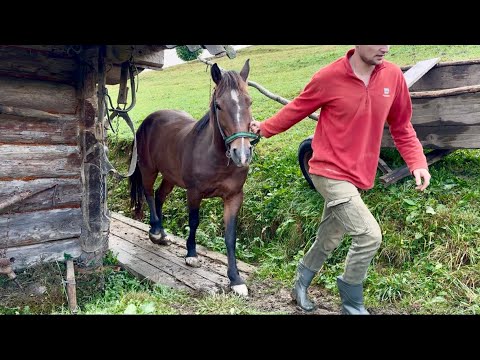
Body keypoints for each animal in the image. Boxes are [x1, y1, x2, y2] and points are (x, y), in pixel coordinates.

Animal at [129, 60, 258, 296]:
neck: (216, 157)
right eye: (218, 105)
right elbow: (194, 221)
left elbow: (230, 235)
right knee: (149, 193)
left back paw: (162, 233)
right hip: (149, 170)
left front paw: (235, 279)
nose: (242, 154)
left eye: (249, 101)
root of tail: (149, 120)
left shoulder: (234, 197)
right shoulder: (194, 193)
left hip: (170, 177)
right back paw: (155, 231)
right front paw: (191, 255)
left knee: (160, 196)